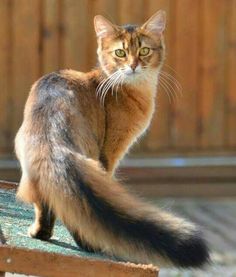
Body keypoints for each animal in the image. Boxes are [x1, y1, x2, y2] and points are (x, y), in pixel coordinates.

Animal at [15, 11, 209, 268]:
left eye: (144, 51)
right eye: (120, 53)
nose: (133, 66)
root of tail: (51, 132)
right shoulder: (111, 152)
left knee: (48, 203)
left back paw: (40, 233)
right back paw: (90, 245)